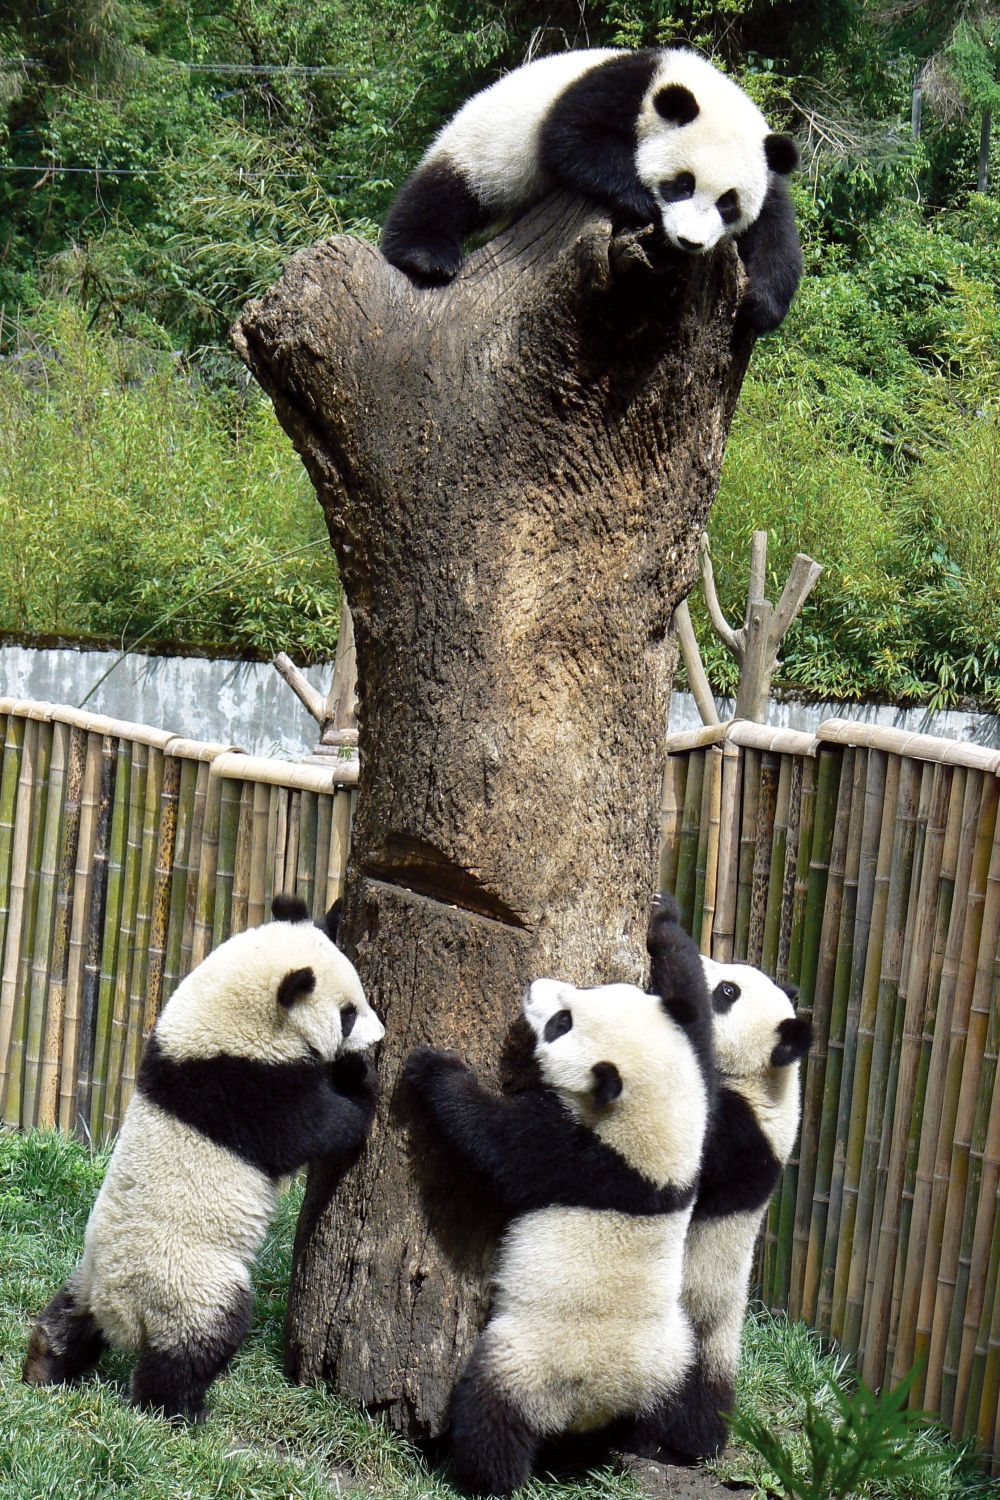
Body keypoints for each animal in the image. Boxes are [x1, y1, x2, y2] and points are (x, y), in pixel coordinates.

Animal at [22, 894, 384, 1422]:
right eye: (349, 1014)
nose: (380, 1036)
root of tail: (121, 1312)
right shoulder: (243, 1087)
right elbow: (317, 1128)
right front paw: (361, 1081)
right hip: (192, 1282)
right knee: (195, 1345)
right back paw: (176, 1411)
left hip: (88, 1273)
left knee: (68, 1318)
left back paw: (43, 1366)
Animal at [380, 47, 802, 334]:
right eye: (682, 184)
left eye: (728, 204)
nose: (690, 241)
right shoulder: (621, 90)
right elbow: (572, 137)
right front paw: (641, 202)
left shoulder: (767, 167)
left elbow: (775, 232)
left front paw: (760, 304)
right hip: (483, 148)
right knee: (445, 191)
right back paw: (425, 255)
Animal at [403, 895, 714, 1497]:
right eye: (591, 988)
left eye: (561, 1023)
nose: (534, 987)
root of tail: (597, 1402)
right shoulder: (698, 1113)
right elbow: (696, 1016)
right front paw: (664, 921)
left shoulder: (581, 1153)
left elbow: (497, 1147)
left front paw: (433, 1069)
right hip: (669, 1360)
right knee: (664, 1406)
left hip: (532, 1360)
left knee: (494, 1414)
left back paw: (479, 1477)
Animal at [640, 954, 813, 1463]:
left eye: (728, 992)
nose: (701, 960)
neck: (765, 1083)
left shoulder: (737, 1133)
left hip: (694, 1318)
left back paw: (682, 1442)